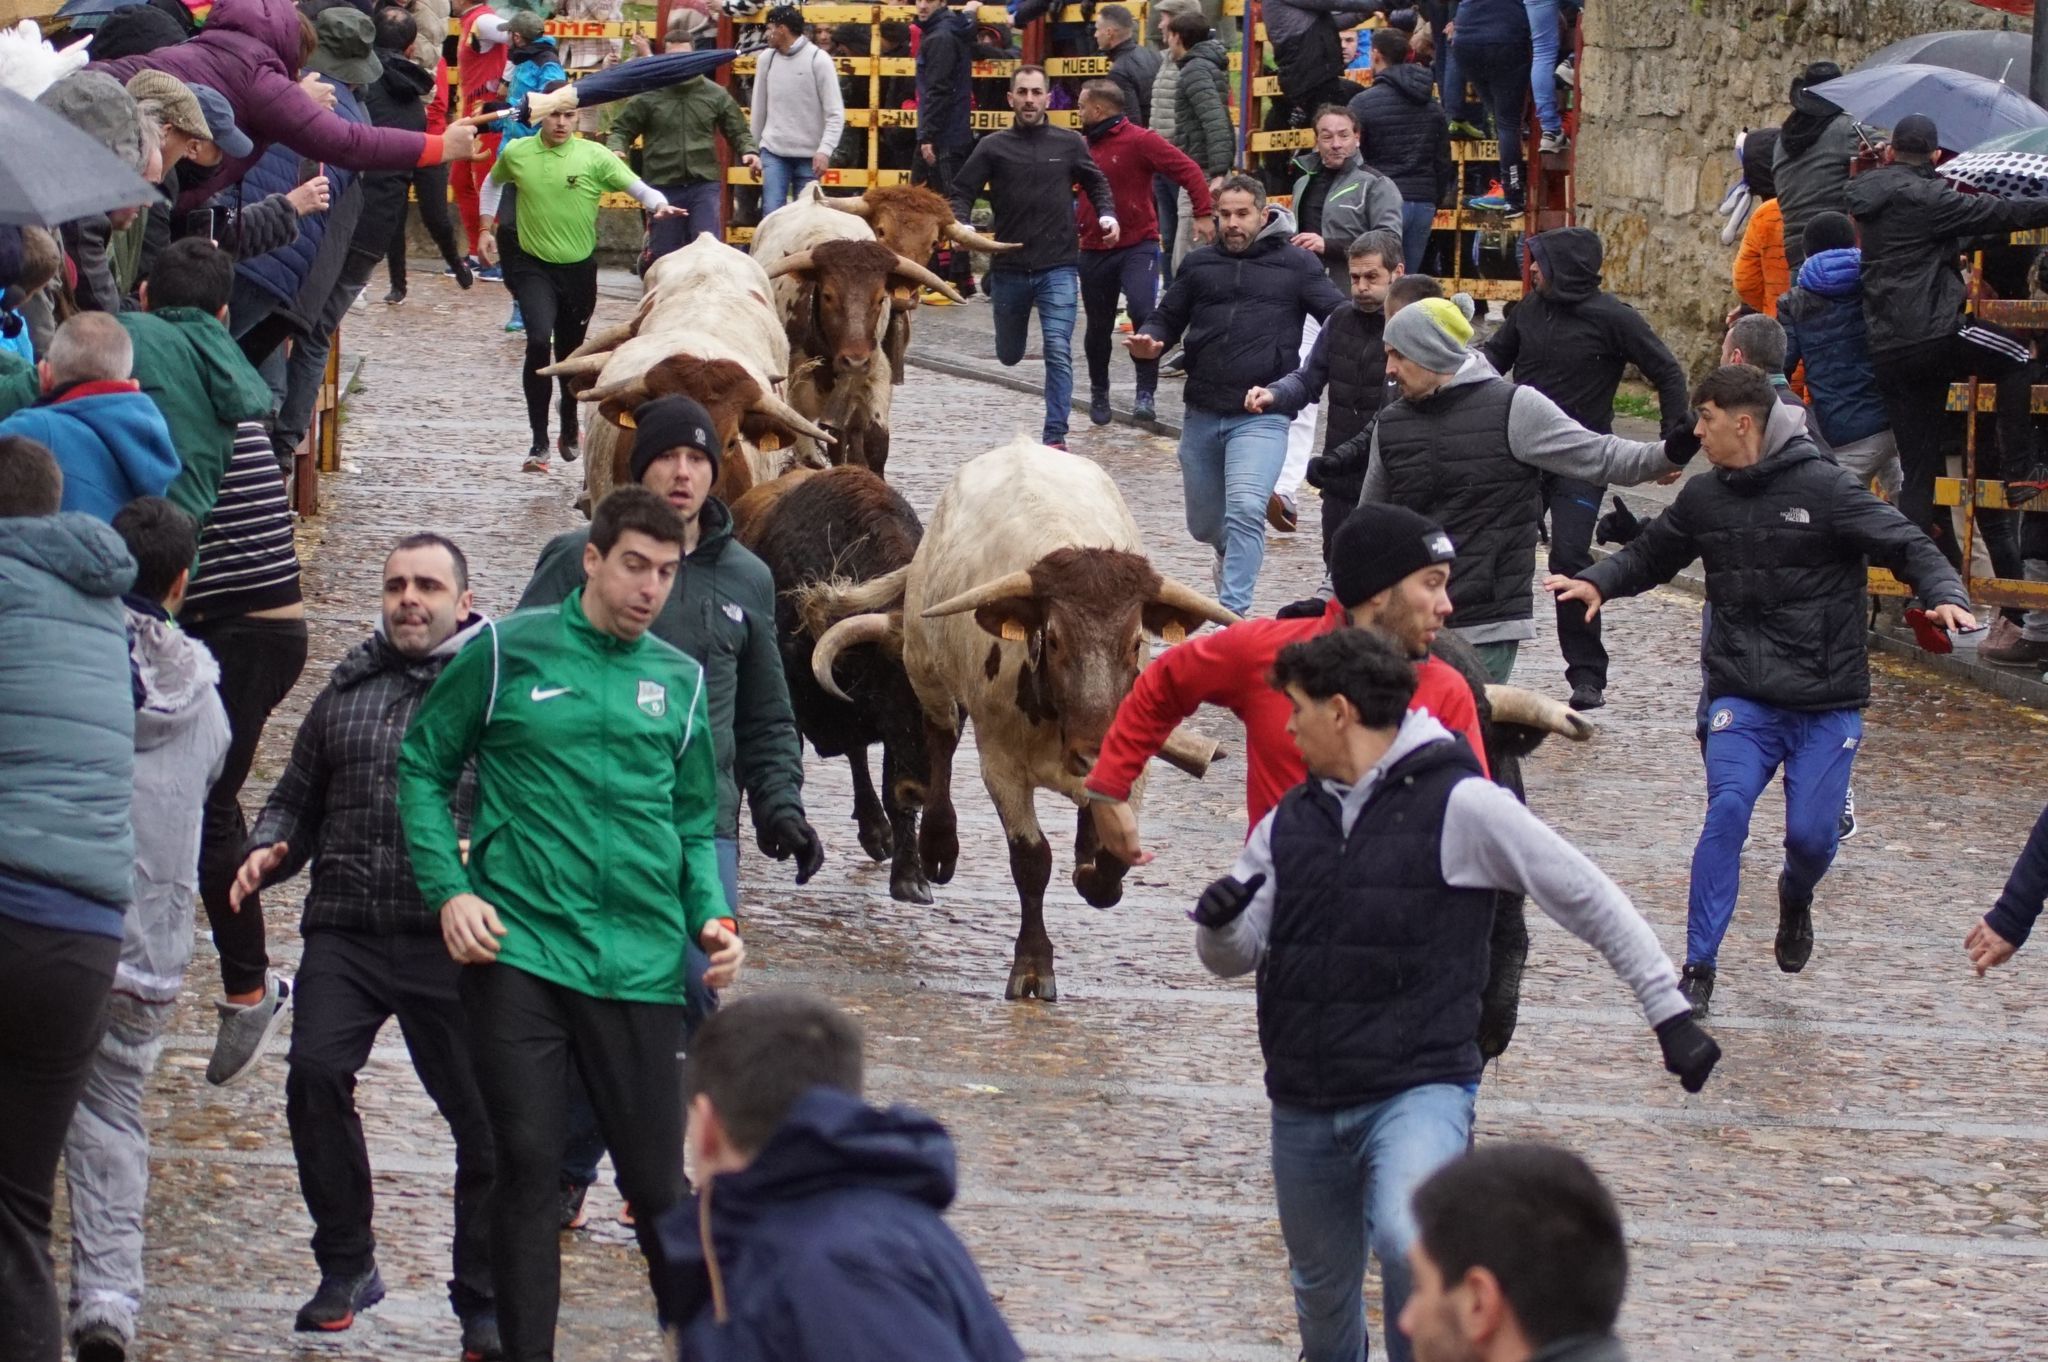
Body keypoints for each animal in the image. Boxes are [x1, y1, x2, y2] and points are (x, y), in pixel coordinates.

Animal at [901, 438, 1228, 999]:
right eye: (1052, 640)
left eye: (1136, 642)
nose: (1091, 752)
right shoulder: (1002, 768)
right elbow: (1032, 861)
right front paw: (1033, 965)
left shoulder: (1135, 761)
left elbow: (1114, 859)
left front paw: (1093, 872)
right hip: (924, 663)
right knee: (941, 737)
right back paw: (939, 843)